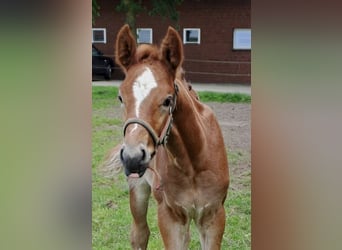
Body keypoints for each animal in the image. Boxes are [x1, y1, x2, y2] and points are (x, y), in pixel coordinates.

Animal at [113, 24, 228, 249]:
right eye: (121, 97)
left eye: (167, 100)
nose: (132, 158)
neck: (193, 163)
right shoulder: (169, 216)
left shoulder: (214, 215)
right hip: (138, 190)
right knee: (140, 234)